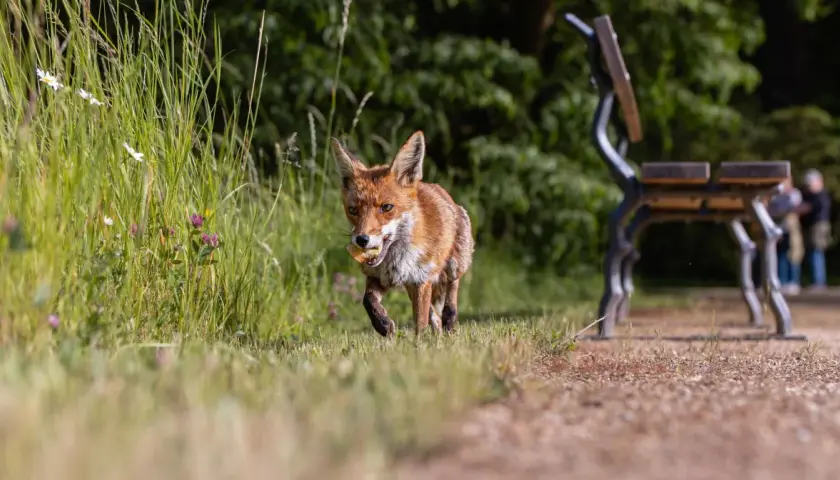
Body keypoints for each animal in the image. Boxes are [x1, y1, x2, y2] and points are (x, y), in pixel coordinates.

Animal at [331, 130, 475, 338]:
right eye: (353, 210)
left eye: (387, 207)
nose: (361, 240)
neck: (395, 260)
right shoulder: (378, 277)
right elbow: (367, 300)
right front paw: (383, 324)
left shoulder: (421, 280)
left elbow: (420, 323)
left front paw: (418, 344)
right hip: (410, 286)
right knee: (434, 315)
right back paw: (438, 333)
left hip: (454, 264)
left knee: (451, 293)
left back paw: (449, 322)